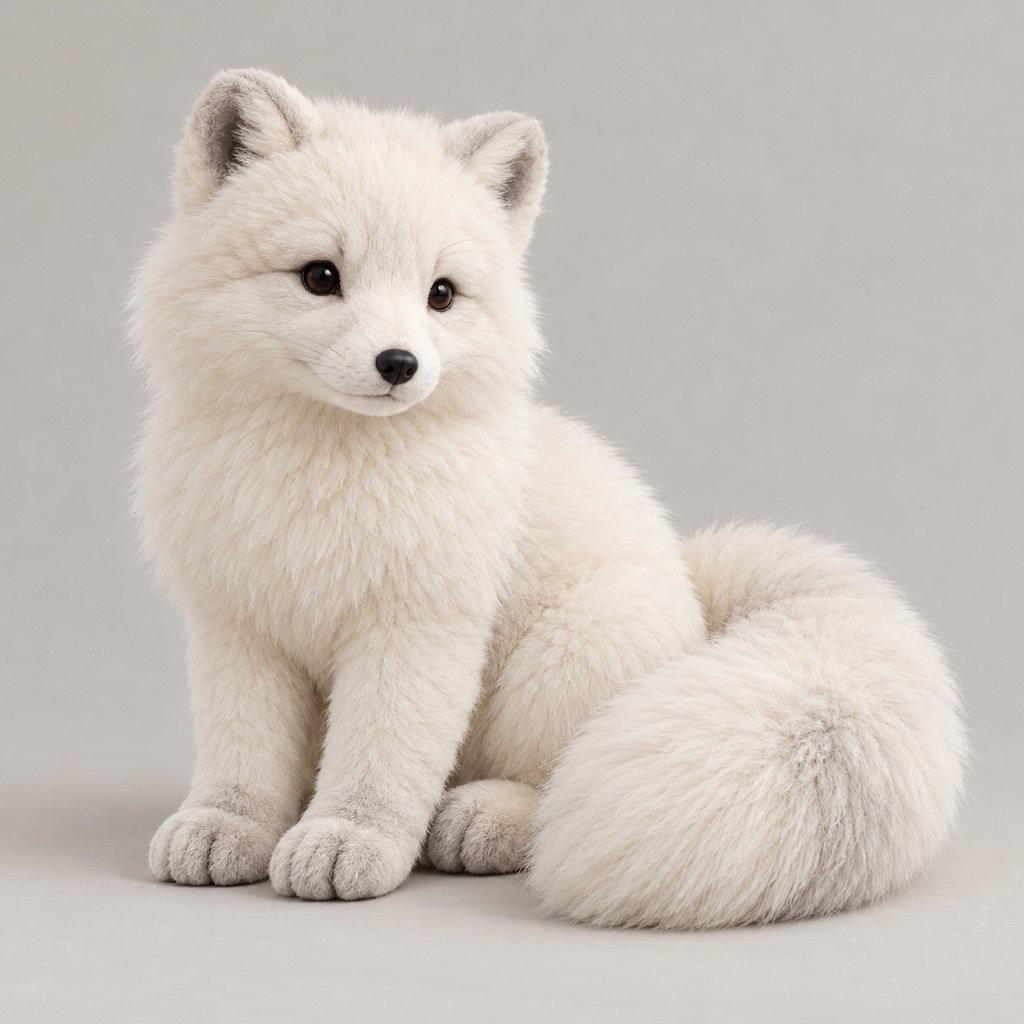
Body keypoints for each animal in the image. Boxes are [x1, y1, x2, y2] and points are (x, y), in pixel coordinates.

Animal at [131, 69, 966, 929]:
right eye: (320, 276)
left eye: (441, 294)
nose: (399, 364)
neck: (321, 475)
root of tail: (696, 600)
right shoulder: (237, 626)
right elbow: (242, 755)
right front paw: (224, 827)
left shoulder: (417, 628)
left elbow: (381, 756)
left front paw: (347, 839)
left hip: (569, 656)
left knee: (547, 782)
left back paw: (482, 821)